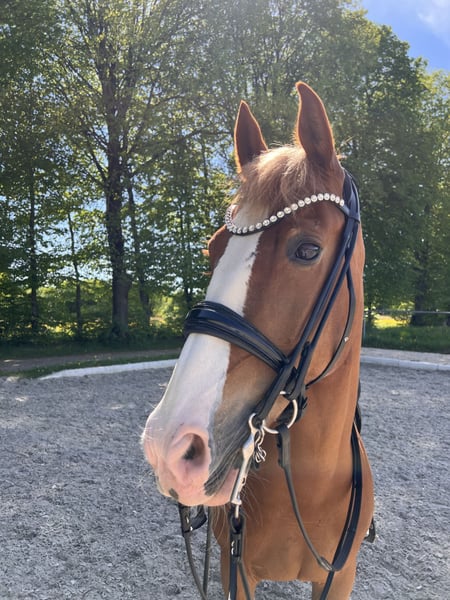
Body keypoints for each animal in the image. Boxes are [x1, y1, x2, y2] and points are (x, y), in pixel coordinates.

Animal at [142, 82, 374, 600]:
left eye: (307, 249)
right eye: (212, 249)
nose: (170, 447)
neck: (310, 482)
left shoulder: (340, 575)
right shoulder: (237, 571)